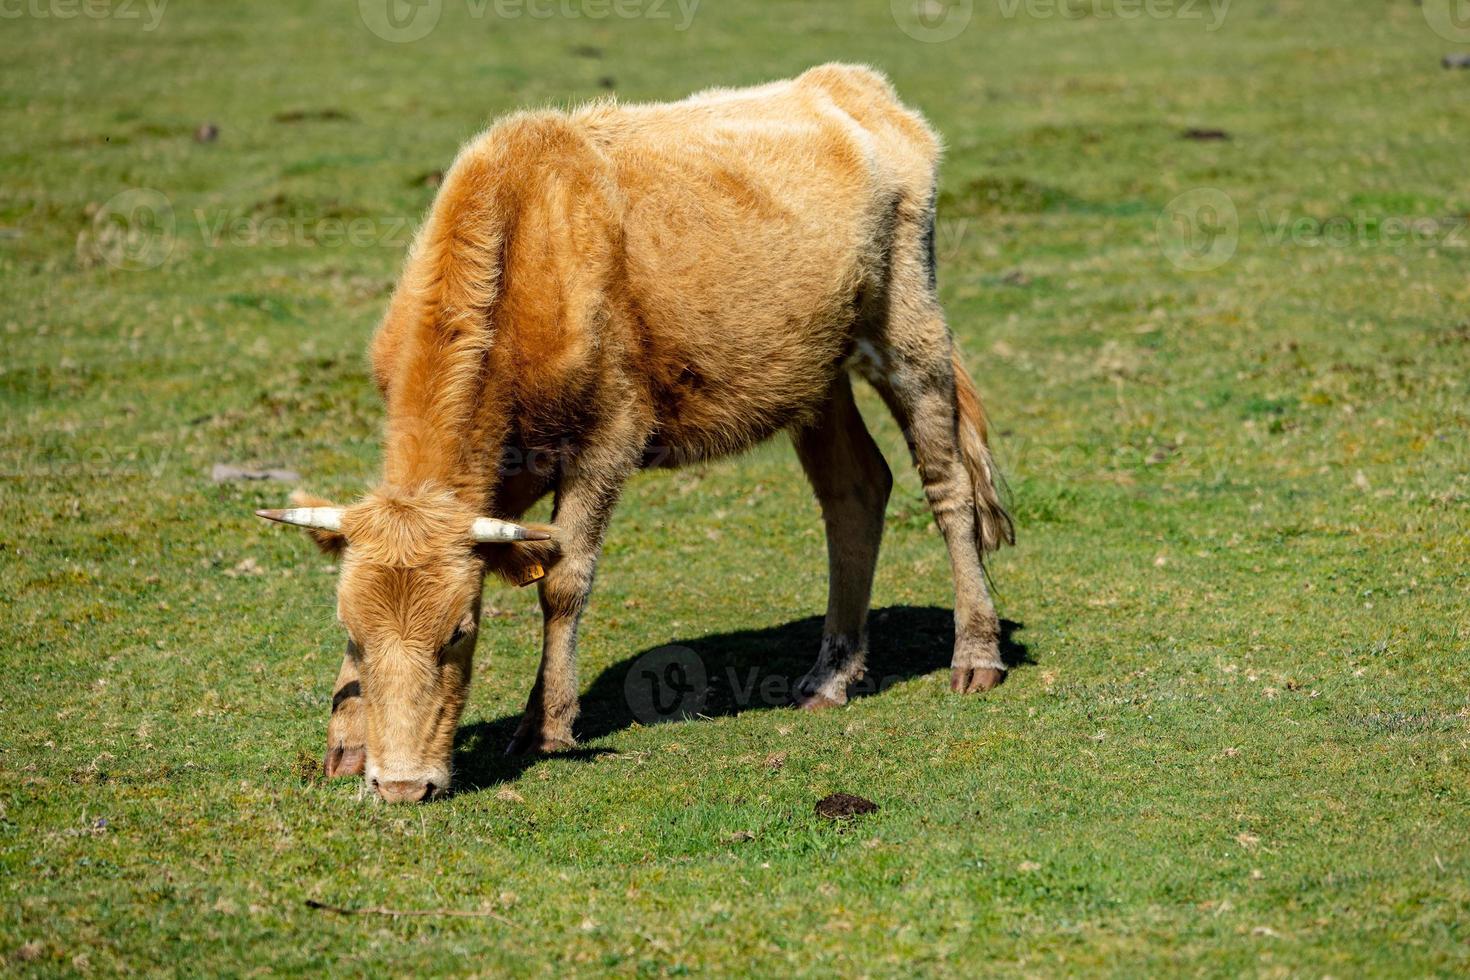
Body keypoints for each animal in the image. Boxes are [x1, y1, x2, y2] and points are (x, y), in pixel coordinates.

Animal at [258, 63, 1011, 805]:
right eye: (352, 633)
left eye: (460, 632)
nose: (403, 785)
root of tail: (850, 84)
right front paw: (349, 742)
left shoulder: (608, 439)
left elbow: (563, 580)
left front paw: (546, 725)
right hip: (814, 374)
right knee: (855, 491)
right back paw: (831, 675)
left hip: (909, 329)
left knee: (946, 484)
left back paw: (975, 653)